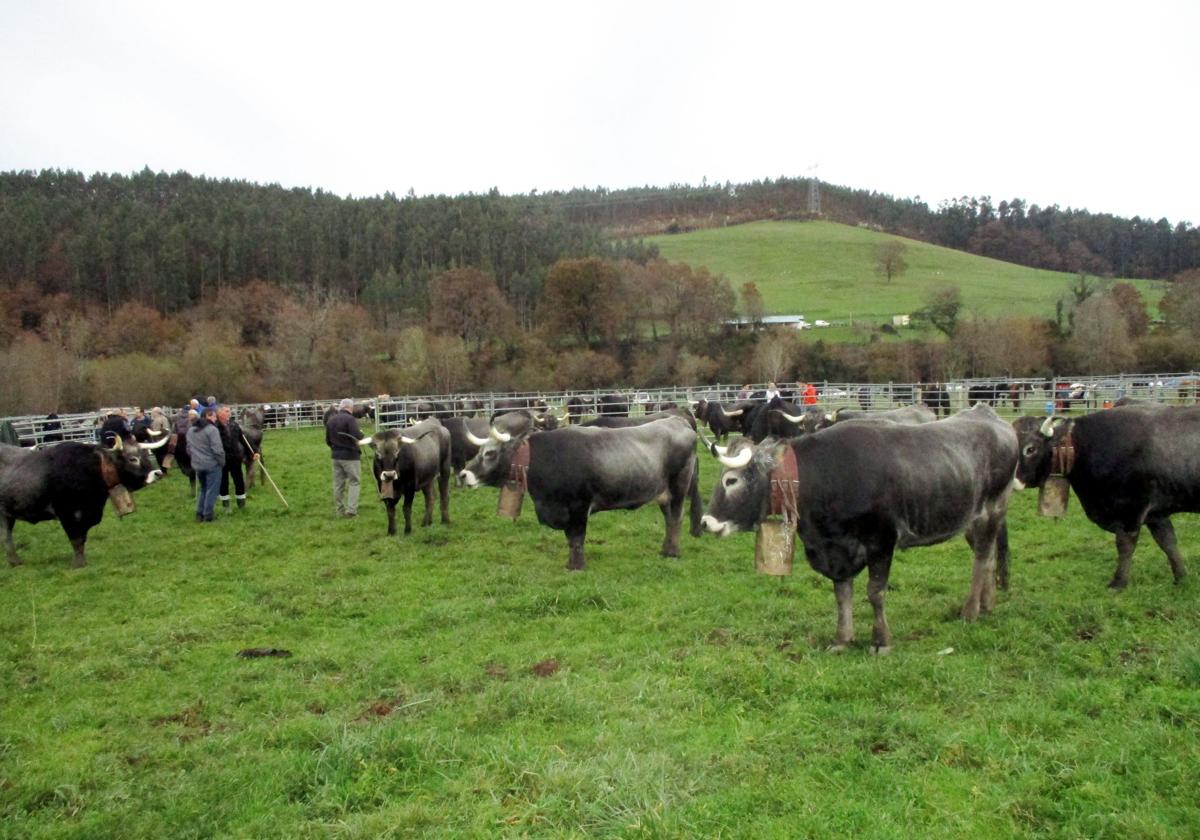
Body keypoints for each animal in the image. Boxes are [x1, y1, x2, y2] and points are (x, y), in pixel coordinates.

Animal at [0, 432, 170, 571]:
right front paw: (78, 564)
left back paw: (15, 562)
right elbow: (75, 538)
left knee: (6, 536)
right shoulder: (66, 513)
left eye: (146, 455)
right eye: (132, 458)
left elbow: (82, 539)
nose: (157, 473)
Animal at [700, 403, 1017, 652]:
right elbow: (842, 594)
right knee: (988, 556)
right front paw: (843, 638)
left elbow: (875, 592)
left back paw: (970, 610)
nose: (706, 522)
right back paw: (987, 604)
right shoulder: (837, 550)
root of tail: (992, 418)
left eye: (731, 480)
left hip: (992, 509)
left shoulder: (881, 541)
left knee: (981, 558)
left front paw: (881, 641)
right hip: (972, 519)